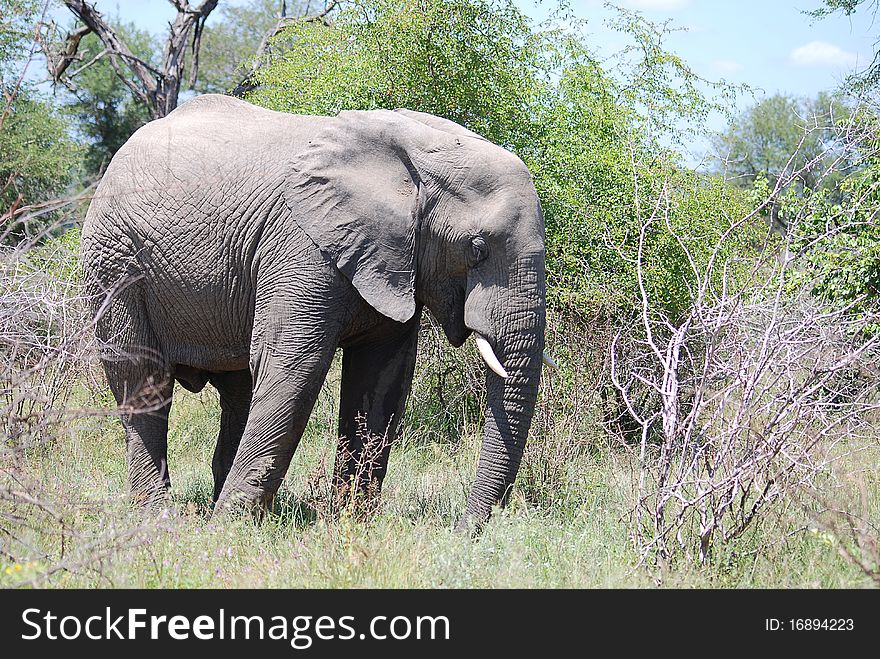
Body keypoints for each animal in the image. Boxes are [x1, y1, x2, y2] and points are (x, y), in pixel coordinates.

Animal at [82, 93, 552, 532]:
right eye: (477, 248)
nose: (461, 530)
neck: (413, 152)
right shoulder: (301, 246)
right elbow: (293, 365)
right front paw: (228, 530)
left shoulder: (390, 256)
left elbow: (382, 377)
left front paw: (350, 522)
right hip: (114, 264)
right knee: (143, 382)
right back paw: (157, 520)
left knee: (237, 391)